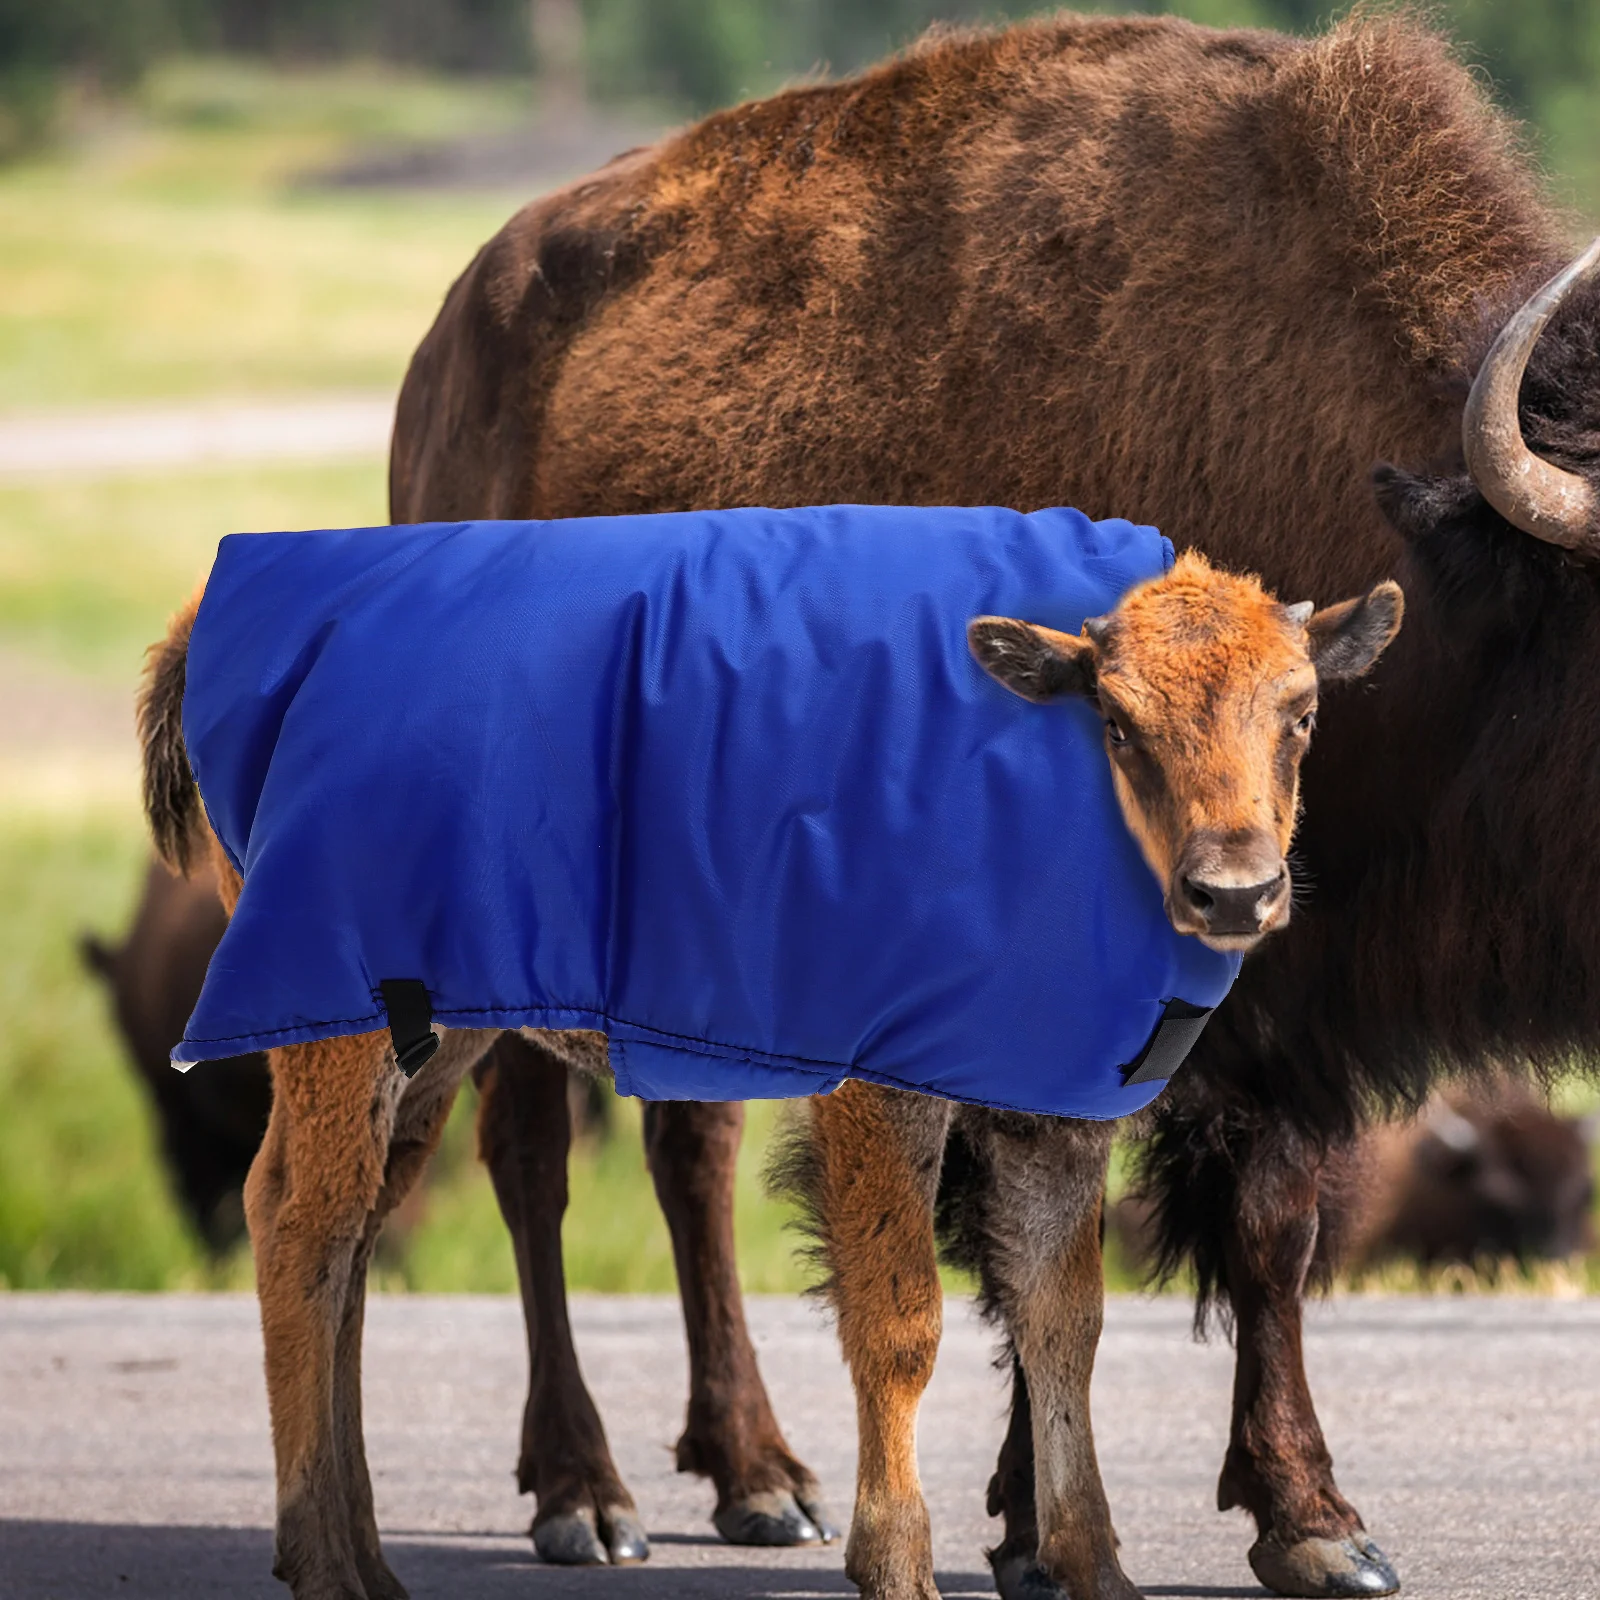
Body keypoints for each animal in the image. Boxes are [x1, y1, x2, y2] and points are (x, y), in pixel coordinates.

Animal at [388, 12, 1600, 1598]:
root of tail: (443, 355)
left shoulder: (1270, 1001)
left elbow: (1252, 1232)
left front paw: (1308, 1525)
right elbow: (1012, 1255)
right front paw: (1046, 1526)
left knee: (686, 1149)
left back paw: (758, 1477)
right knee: (533, 1156)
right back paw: (587, 1498)